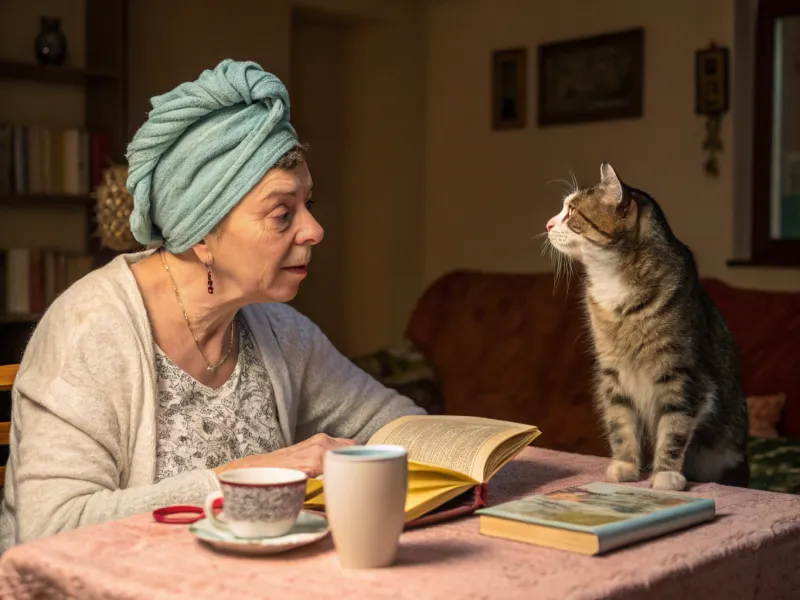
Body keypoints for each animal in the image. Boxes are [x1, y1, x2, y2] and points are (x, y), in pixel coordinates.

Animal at [544, 162, 752, 490]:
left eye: (572, 212)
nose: (548, 224)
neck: (614, 282)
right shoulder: (613, 375)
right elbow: (621, 425)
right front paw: (626, 467)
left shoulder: (682, 374)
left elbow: (674, 428)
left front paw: (665, 475)